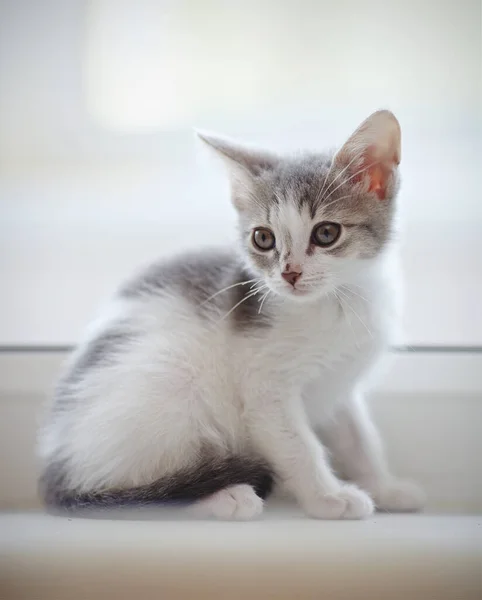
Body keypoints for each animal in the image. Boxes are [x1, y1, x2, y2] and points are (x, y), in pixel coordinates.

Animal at [40, 111, 426, 520]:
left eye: (326, 233)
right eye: (263, 238)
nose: (289, 274)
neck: (338, 302)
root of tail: (55, 472)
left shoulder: (338, 384)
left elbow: (359, 439)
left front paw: (385, 487)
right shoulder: (264, 387)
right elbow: (298, 446)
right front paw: (329, 498)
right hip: (167, 380)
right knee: (142, 491)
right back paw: (223, 496)